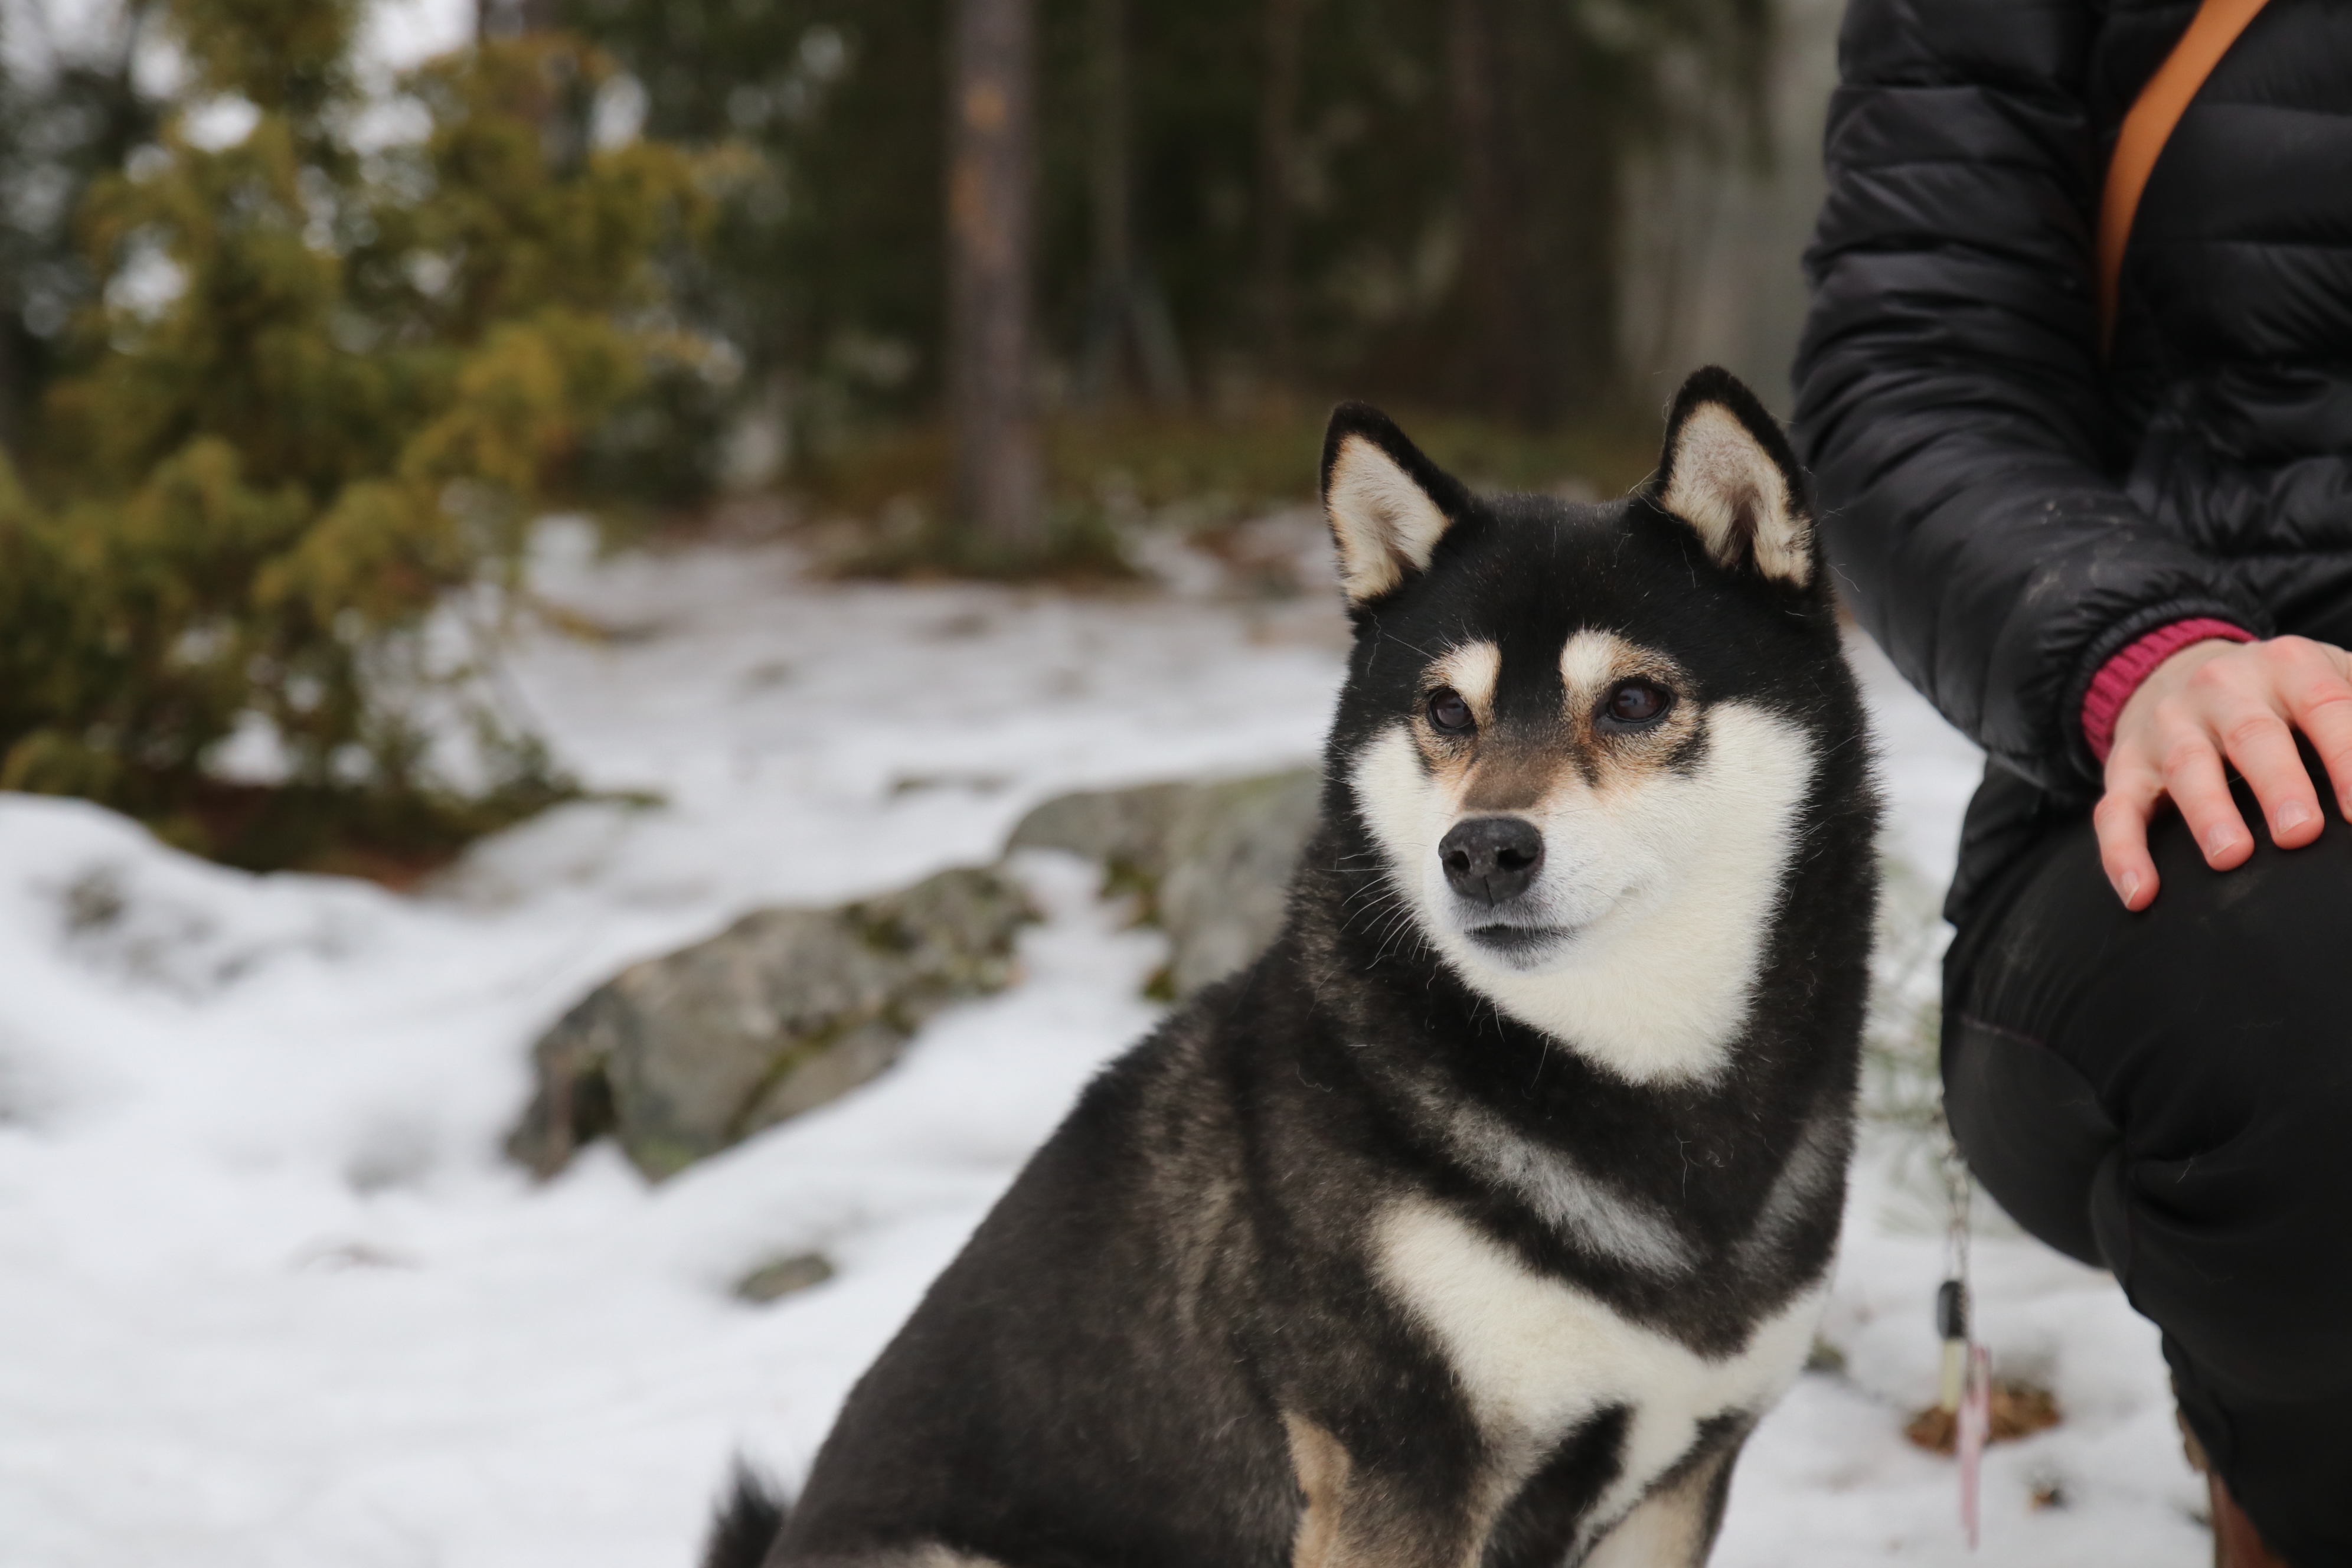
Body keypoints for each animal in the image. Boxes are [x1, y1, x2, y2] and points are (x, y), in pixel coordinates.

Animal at [705, 371, 1881, 1568]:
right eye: (1446, 710)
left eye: (1634, 700)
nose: (1481, 853)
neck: (1626, 1082)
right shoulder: (1395, 1468)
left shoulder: (1681, 1479)